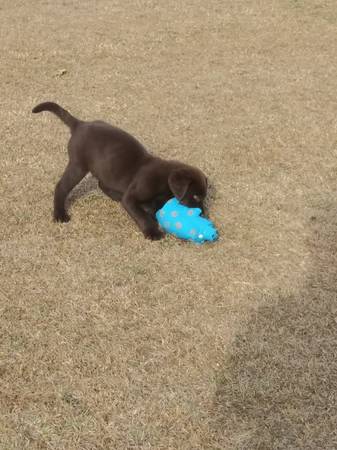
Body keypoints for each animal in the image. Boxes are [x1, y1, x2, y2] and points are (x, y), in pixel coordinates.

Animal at [33, 102, 207, 241]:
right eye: (196, 196)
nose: (203, 214)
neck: (164, 179)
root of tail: (80, 124)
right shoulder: (132, 197)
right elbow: (141, 215)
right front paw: (152, 232)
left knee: (102, 184)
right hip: (78, 166)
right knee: (61, 187)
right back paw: (59, 214)